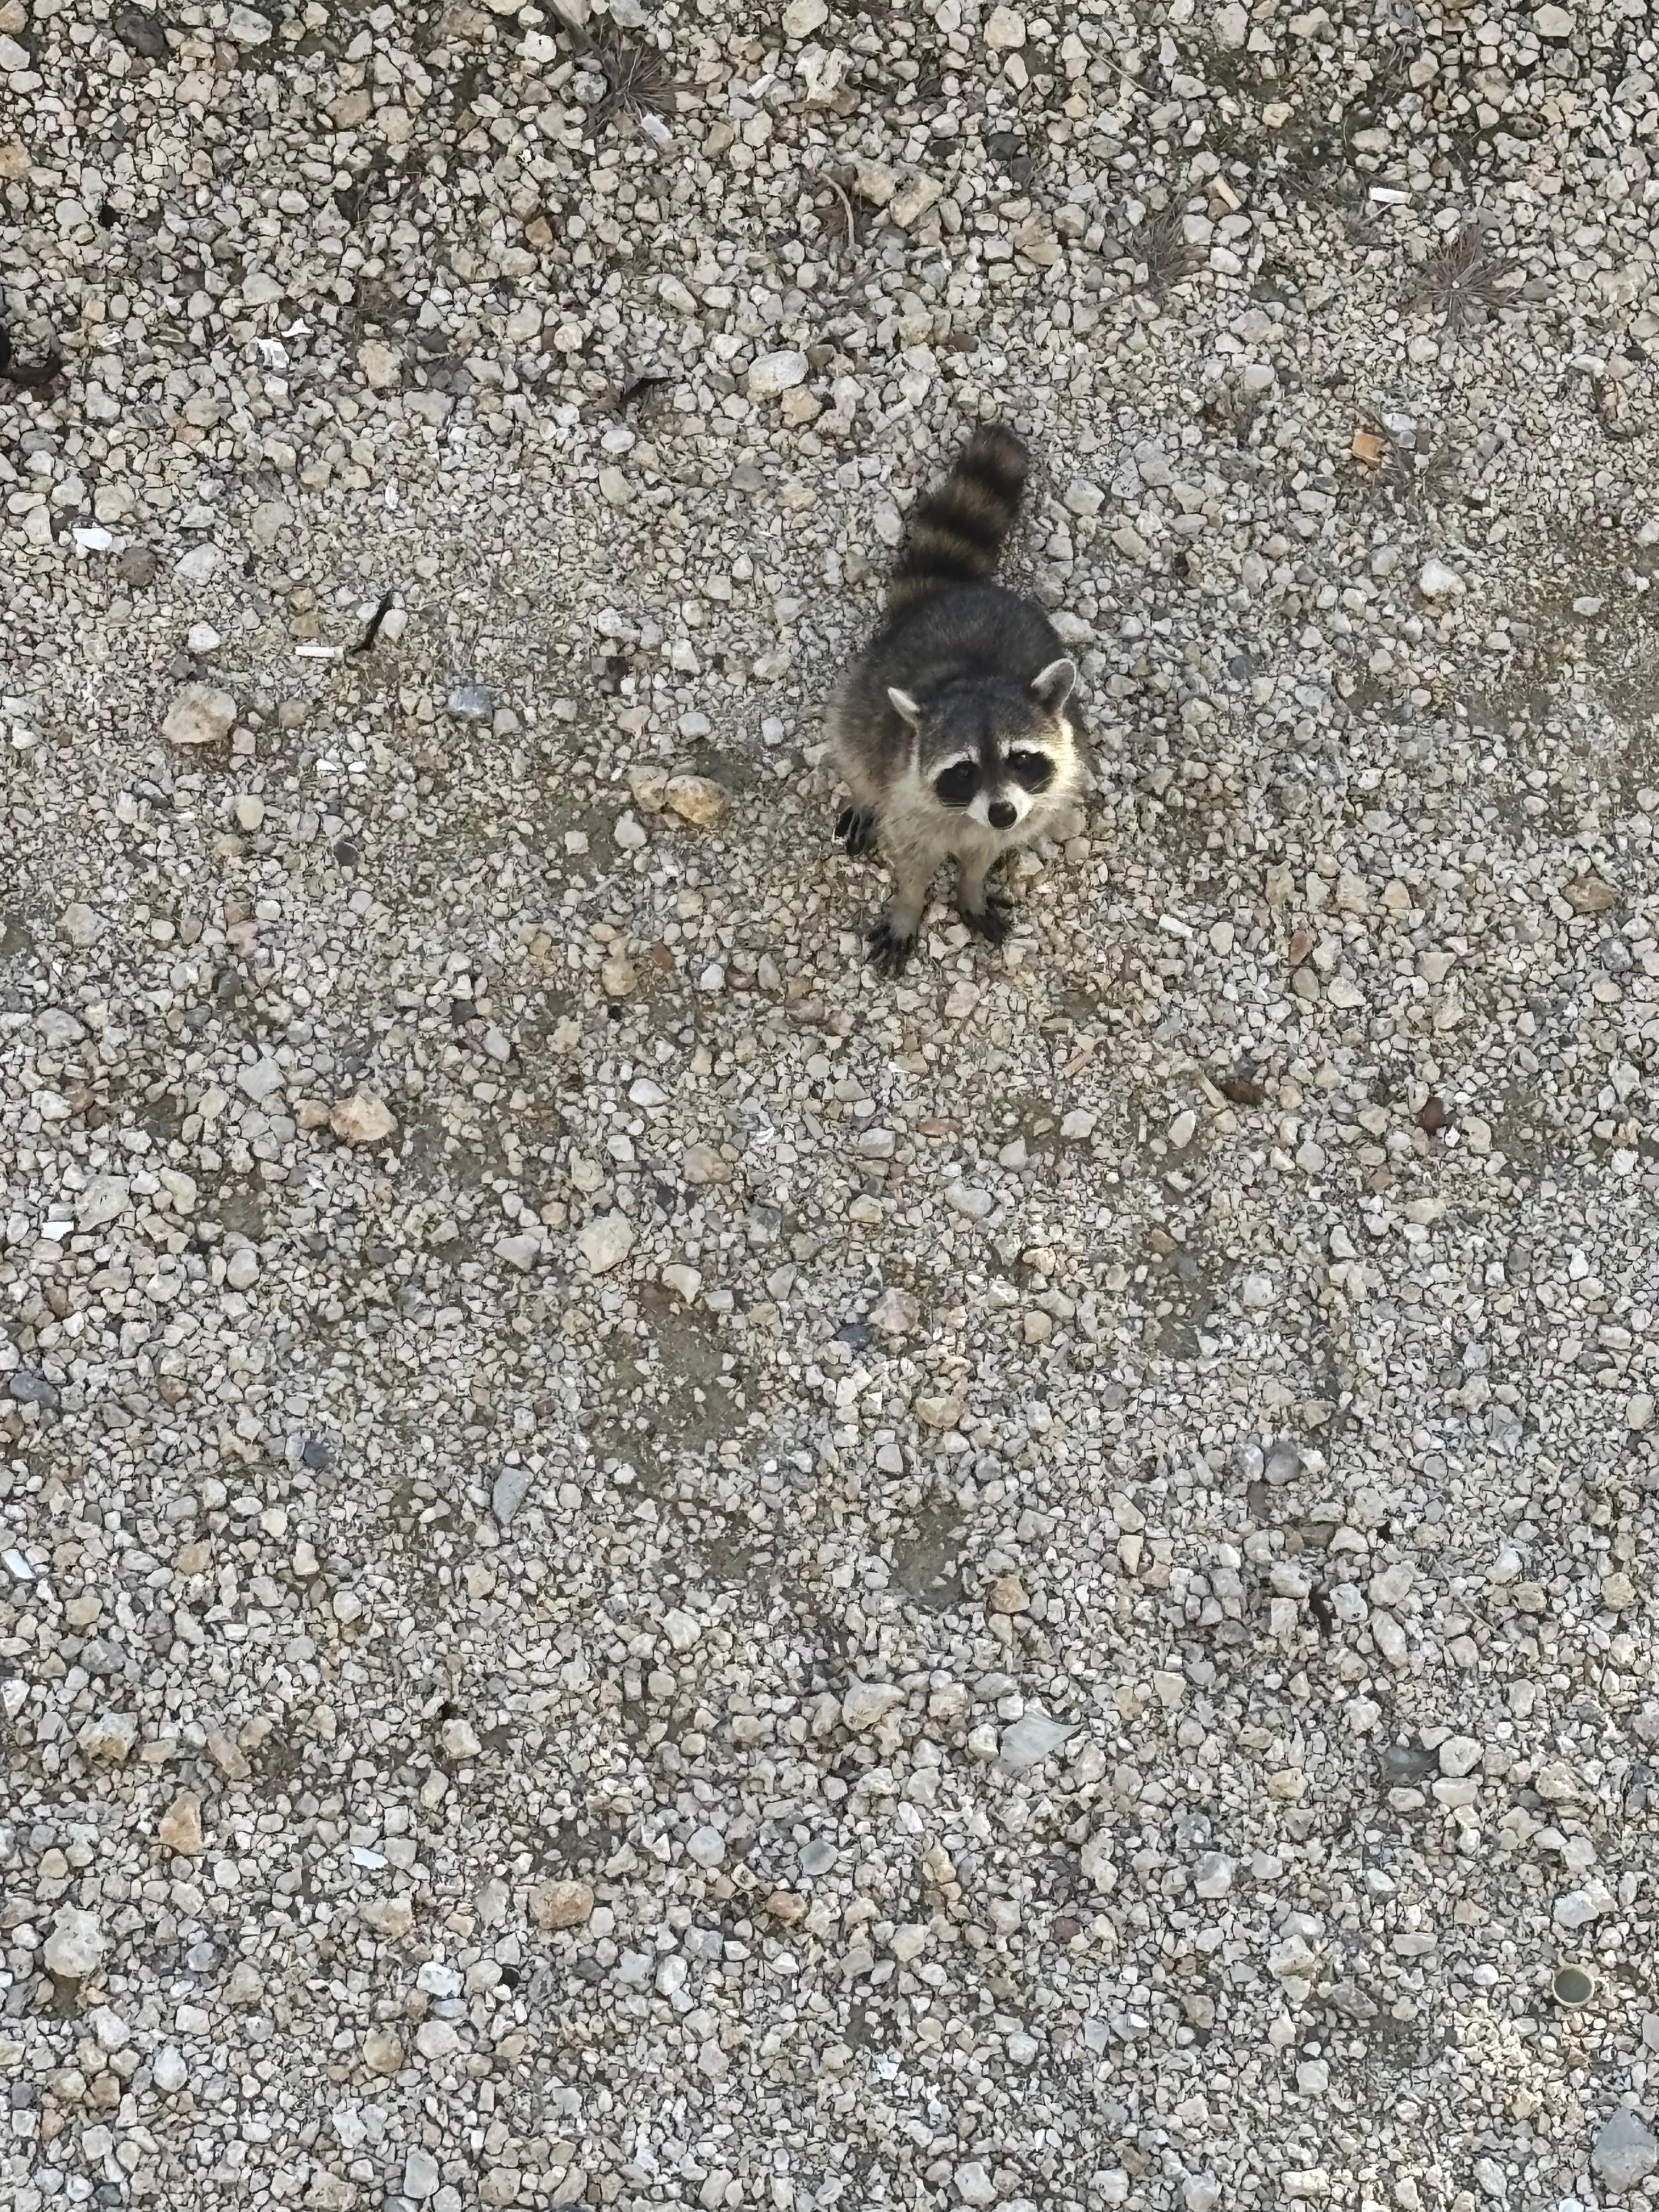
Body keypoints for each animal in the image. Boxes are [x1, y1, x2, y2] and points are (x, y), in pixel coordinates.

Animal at [827, 423, 1087, 976]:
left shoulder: (1019, 811)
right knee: (853, 742)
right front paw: (908, 906)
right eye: (963, 770)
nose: (1003, 813)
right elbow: (912, 867)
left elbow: (981, 858)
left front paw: (970, 886)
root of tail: (948, 593)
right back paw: (862, 793)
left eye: (1022, 758)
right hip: (863, 691)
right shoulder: (908, 802)